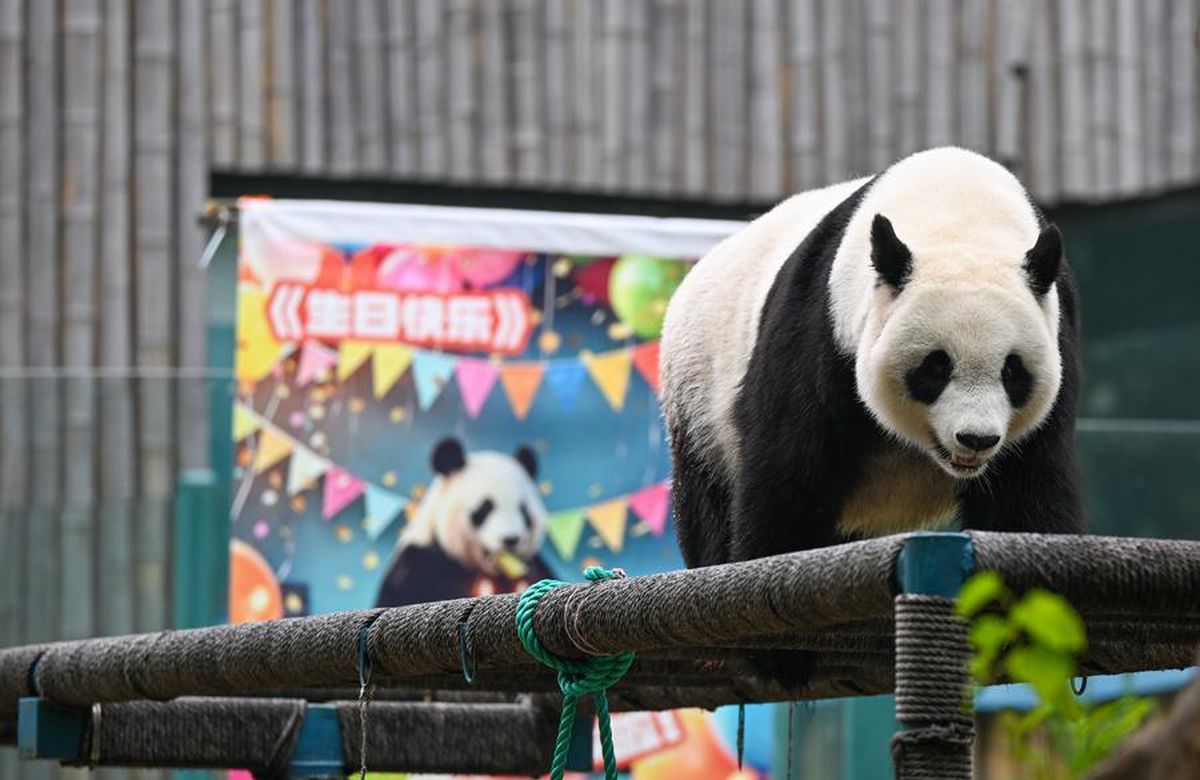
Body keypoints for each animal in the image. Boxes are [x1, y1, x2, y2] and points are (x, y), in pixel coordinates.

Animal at [660, 147, 1084, 685]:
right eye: (936, 366)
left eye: (1013, 371)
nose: (977, 439)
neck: (958, 215)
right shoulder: (822, 326)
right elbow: (789, 471)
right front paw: (781, 649)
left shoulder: (1057, 328)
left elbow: (1028, 487)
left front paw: (1029, 631)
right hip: (697, 396)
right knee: (708, 499)